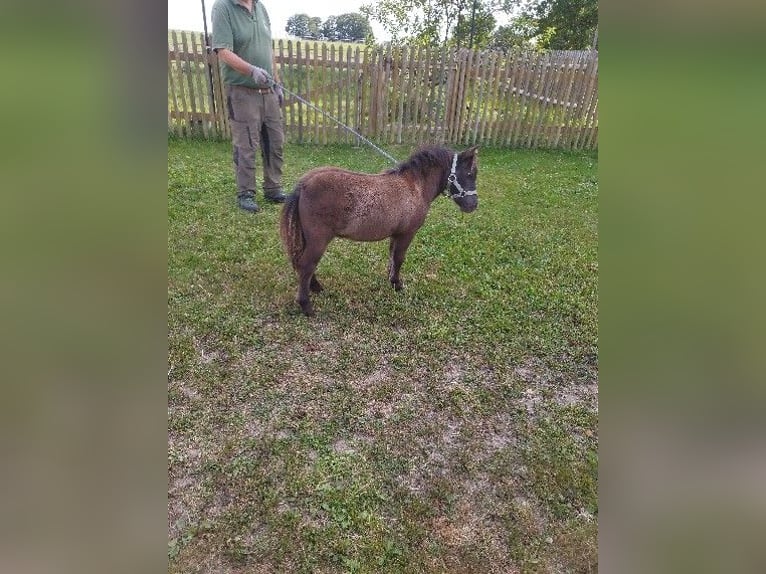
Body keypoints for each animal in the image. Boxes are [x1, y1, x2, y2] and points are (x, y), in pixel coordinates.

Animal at [280, 143, 476, 316]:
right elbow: (399, 258)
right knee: (306, 265)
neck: (415, 186)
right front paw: (397, 284)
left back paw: (316, 288)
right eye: (469, 173)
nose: (473, 205)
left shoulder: (396, 234)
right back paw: (306, 306)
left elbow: (392, 257)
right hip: (318, 239)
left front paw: (391, 280)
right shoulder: (407, 234)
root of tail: (304, 184)